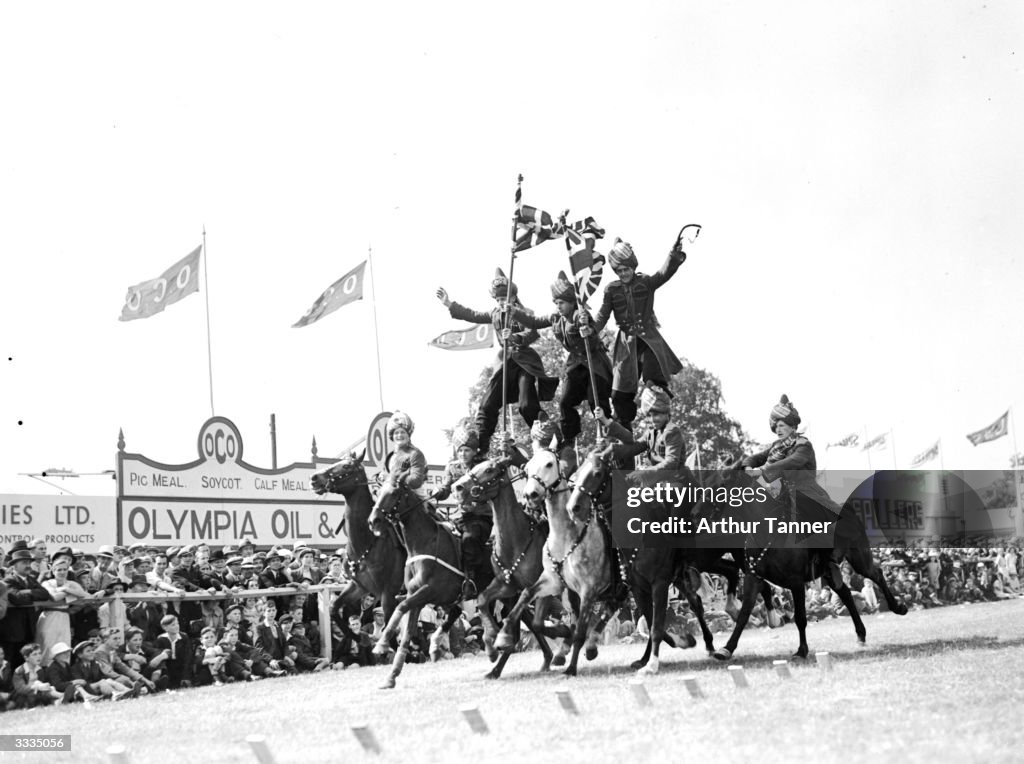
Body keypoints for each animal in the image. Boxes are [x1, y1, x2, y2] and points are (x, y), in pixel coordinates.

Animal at [309, 452, 405, 626]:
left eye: (347, 466)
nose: (314, 478)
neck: (367, 542)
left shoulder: (388, 594)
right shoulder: (359, 586)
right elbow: (334, 607)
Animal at [368, 473, 491, 688]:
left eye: (394, 493)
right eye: (378, 491)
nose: (373, 520)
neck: (425, 543)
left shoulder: (428, 591)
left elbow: (400, 607)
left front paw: (381, 644)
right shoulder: (417, 595)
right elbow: (406, 633)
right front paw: (391, 676)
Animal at [450, 448, 573, 675]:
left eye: (489, 469)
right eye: (474, 467)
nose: (457, 487)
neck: (516, 540)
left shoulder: (543, 587)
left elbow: (538, 624)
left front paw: (562, 632)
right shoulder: (507, 586)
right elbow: (482, 601)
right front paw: (492, 642)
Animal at [491, 446, 618, 671]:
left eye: (550, 463)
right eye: (527, 468)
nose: (530, 494)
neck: (566, 537)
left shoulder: (589, 589)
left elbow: (579, 630)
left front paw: (571, 668)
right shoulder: (553, 582)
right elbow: (526, 598)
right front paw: (503, 637)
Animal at [708, 467, 909, 659]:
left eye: (720, 486)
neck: (767, 530)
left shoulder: (796, 583)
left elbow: (800, 618)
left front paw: (802, 650)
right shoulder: (753, 579)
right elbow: (743, 614)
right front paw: (726, 649)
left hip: (859, 559)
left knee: (876, 574)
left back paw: (898, 608)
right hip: (829, 572)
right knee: (846, 593)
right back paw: (861, 634)